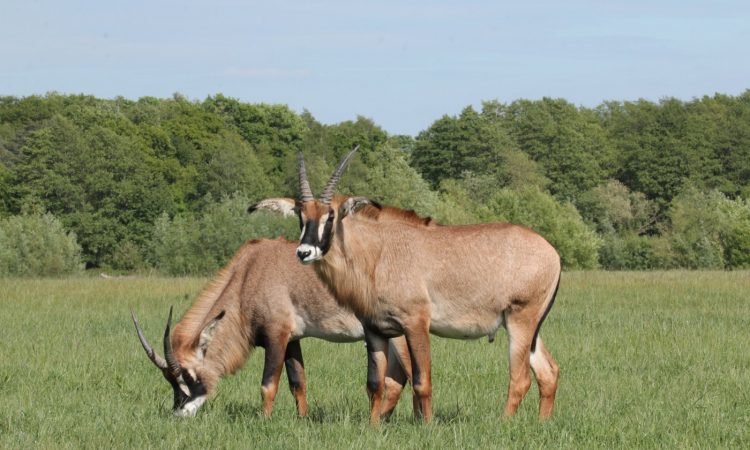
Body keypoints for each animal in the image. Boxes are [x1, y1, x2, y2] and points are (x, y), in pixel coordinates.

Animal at [131, 237, 413, 418]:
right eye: (169, 380)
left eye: (187, 376)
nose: (179, 413)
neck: (249, 272)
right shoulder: (293, 338)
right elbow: (298, 382)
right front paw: (302, 421)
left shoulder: (276, 335)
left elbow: (268, 385)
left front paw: (263, 421)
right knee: (396, 380)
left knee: (407, 375)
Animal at [254, 149, 561, 424]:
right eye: (300, 215)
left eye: (331, 215)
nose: (304, 252)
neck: (377, 254)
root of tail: (552, 253)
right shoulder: (376, 330)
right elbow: (374, 383)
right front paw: (373, 427)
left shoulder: (416, 323)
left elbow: (422, 381)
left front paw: (427, 426)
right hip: (527, 327)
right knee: (548, 371)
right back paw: (542, 423)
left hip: (520, 320)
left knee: (520, 378)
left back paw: (503, 423)